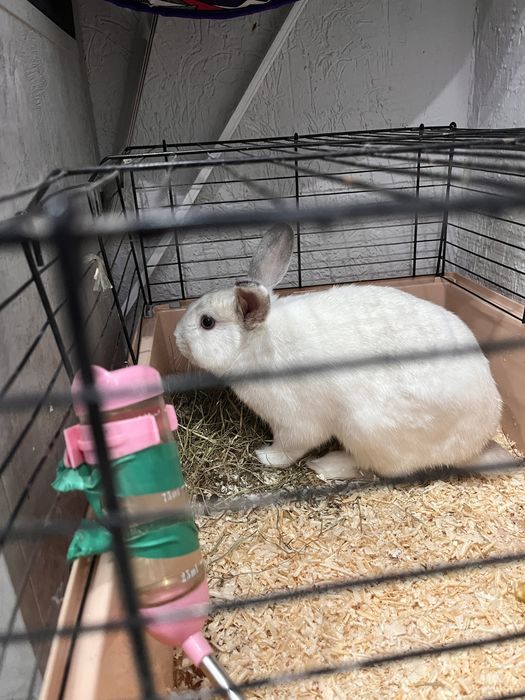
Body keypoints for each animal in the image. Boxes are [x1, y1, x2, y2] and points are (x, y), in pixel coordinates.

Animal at [174, 224, 507, 481]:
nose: (176, 337)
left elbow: (289, 448)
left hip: (366, 429)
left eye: (206, 322)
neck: (259, 343)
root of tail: (474, 445)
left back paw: (327, 464)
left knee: (376, 467)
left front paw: (265, 456)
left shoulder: (293, 421)